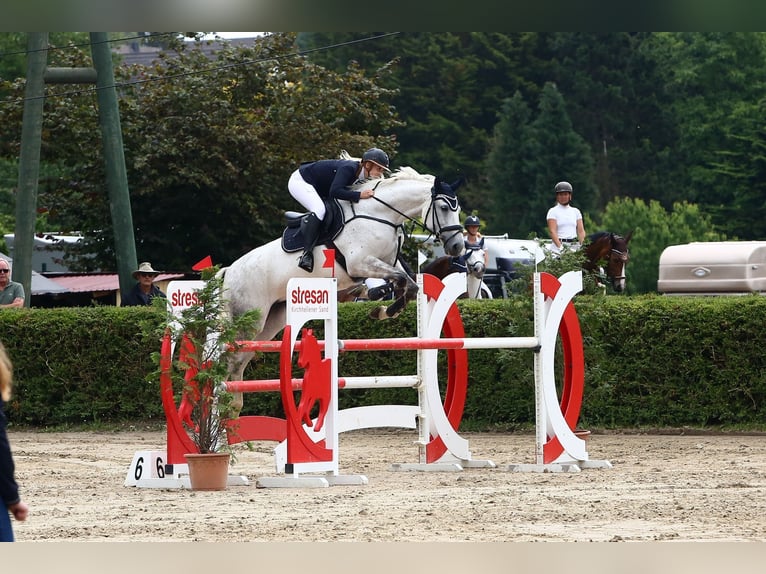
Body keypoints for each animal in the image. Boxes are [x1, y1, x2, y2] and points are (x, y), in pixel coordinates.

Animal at [219, 169, 464, 412]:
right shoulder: (360, 263)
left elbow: (409, 285)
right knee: (231, 357)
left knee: (239, 360)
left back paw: (233, 408)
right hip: (249, 319)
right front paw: (382, 307)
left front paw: (383, 310)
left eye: (458, 210)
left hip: (271, 322)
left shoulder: (387, 263)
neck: (382, 215)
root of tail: (229, 271)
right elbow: (402, 280)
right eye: (444, 208)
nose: (457, 247)